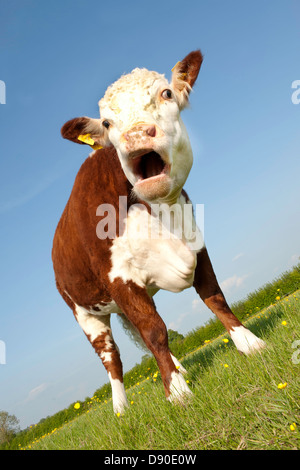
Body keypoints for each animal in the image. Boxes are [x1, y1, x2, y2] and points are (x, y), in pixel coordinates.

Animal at [52, 49, 266, 414]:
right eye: (106, 123)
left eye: (166, 93)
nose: (137, 135)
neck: (159, 213)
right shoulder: (119, 278)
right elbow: (154, 331)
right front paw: (177, 392)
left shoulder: (196, 244)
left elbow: (216, 298)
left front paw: (250, 343)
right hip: (84, 313)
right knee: (112, 359)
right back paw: (121, 408)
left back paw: (178, 368)